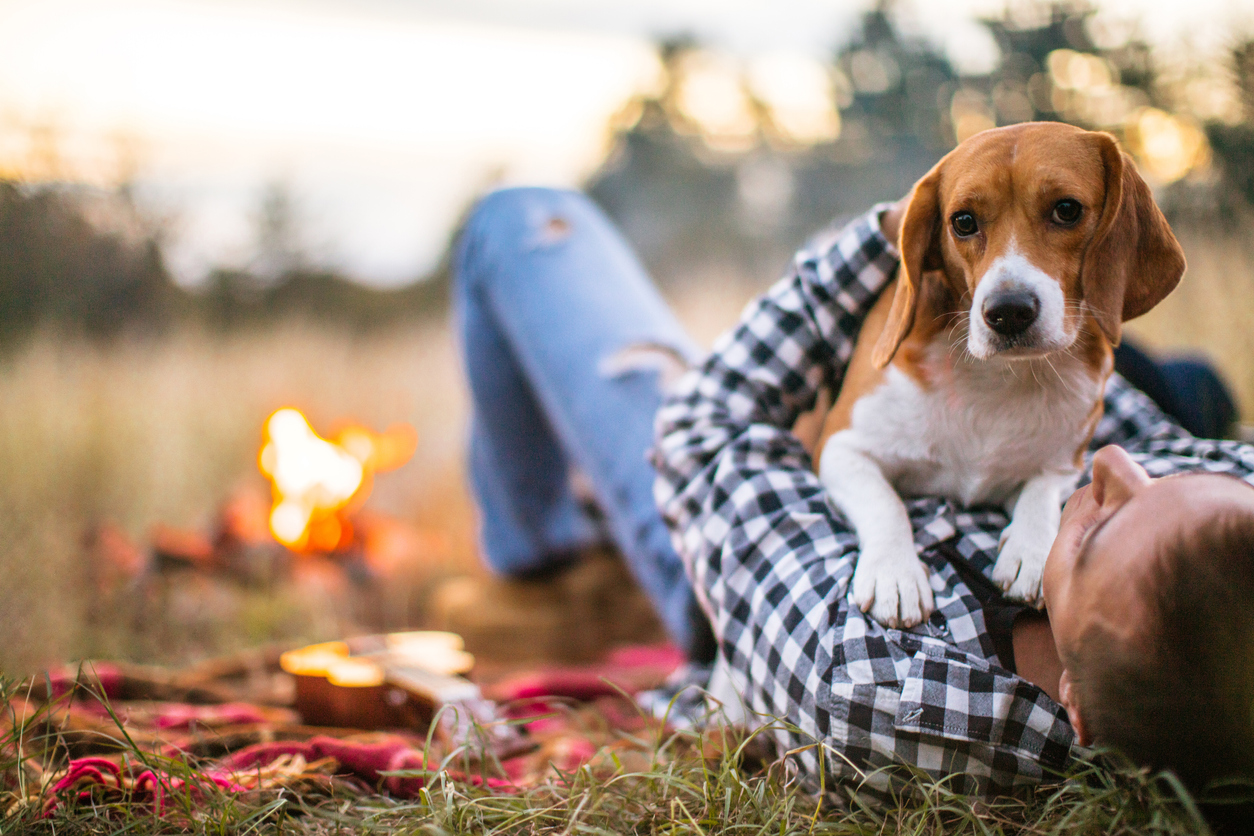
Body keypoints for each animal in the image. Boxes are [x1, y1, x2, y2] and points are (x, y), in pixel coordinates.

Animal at [812, 122, 1183, 626]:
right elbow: (885, 503)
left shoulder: (1065, 460)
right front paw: (894, 571)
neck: (1001, 376)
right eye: (963, 221)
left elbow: (1041, 491)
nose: (1008, 312)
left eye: (1067, 209)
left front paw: (1032, 549)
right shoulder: (839, 446)